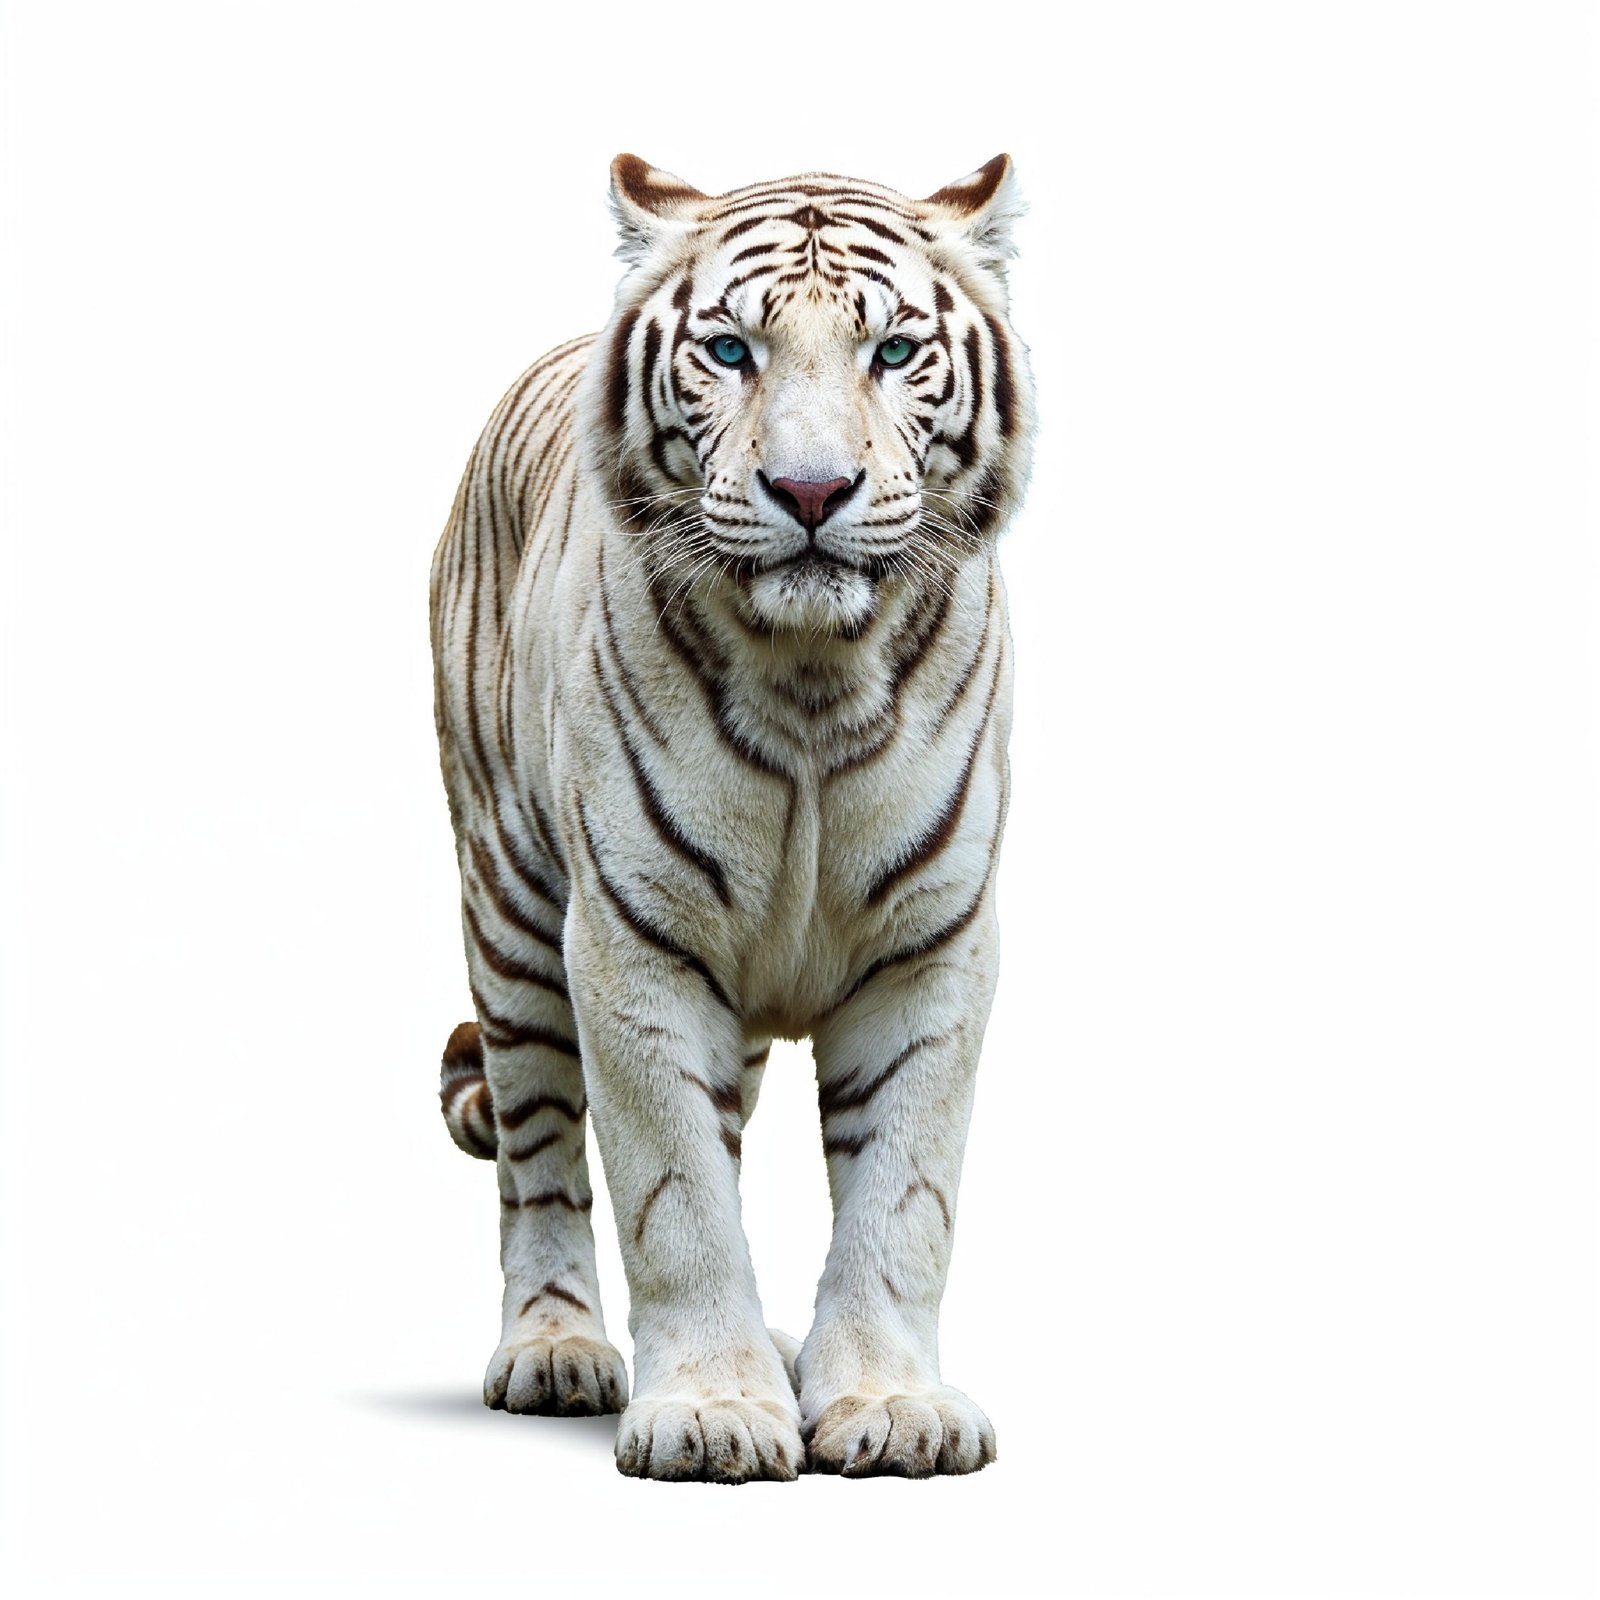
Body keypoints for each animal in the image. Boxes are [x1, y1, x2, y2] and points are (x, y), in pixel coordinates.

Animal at [429, 152, 1035, 1482]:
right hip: (509, 910)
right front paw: (711, 1408)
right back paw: (555, 1349)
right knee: (541, 1155)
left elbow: (902, 1194)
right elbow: (673, 1192)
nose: (810, 489)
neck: (814, 676)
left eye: (893, 352)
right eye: (728, 350)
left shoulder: (933, 944)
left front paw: (887, 1404)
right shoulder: (631, 938)